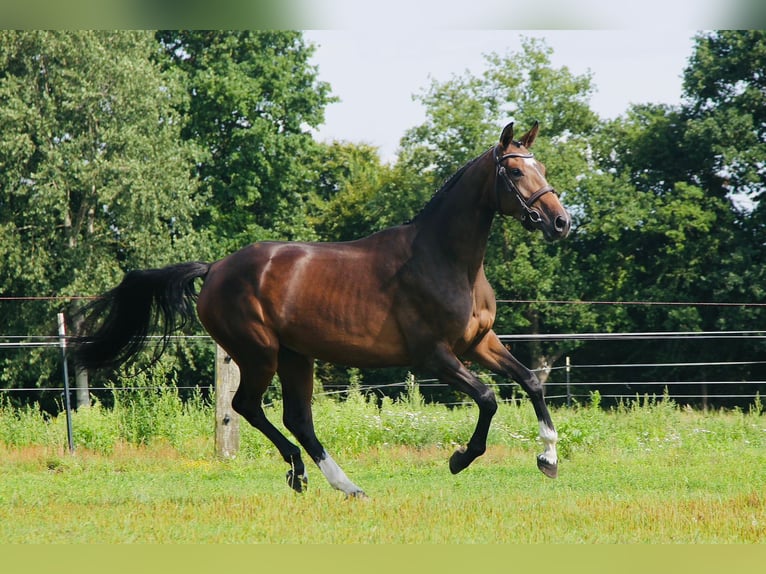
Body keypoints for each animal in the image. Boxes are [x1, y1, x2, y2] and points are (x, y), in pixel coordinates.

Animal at [75, 121, 571, 498]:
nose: (561, 222)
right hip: (259, 353)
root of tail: (215, 268)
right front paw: (460, 458)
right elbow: (488, 398)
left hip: (296, 356)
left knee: (297, 418)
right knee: (248, 406)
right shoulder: (435, 356)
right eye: (514, 172)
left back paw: (336, 483)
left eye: (541, 166)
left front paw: (548, 456)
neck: (445, 260)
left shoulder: (478, 343)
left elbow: (531, 381)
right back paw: (309, 474)